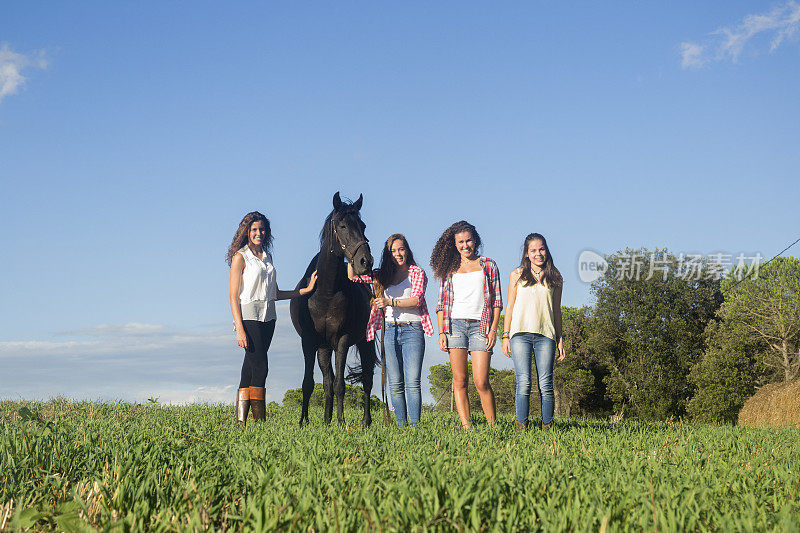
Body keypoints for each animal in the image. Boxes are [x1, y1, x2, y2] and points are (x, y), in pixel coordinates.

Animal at [290, 191, 378, 424]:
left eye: (363, 225)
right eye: (342, 226)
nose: (365, 262)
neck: (325, 293)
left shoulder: (342, 340)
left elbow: (340, 385)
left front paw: (341, 422)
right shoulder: (310, 341)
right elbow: (310, 383)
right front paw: (305, 422)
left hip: (364, 343)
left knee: (367, 380)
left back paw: (366, 422)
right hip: (324, 347)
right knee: (328, 381)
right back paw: (326, 420)